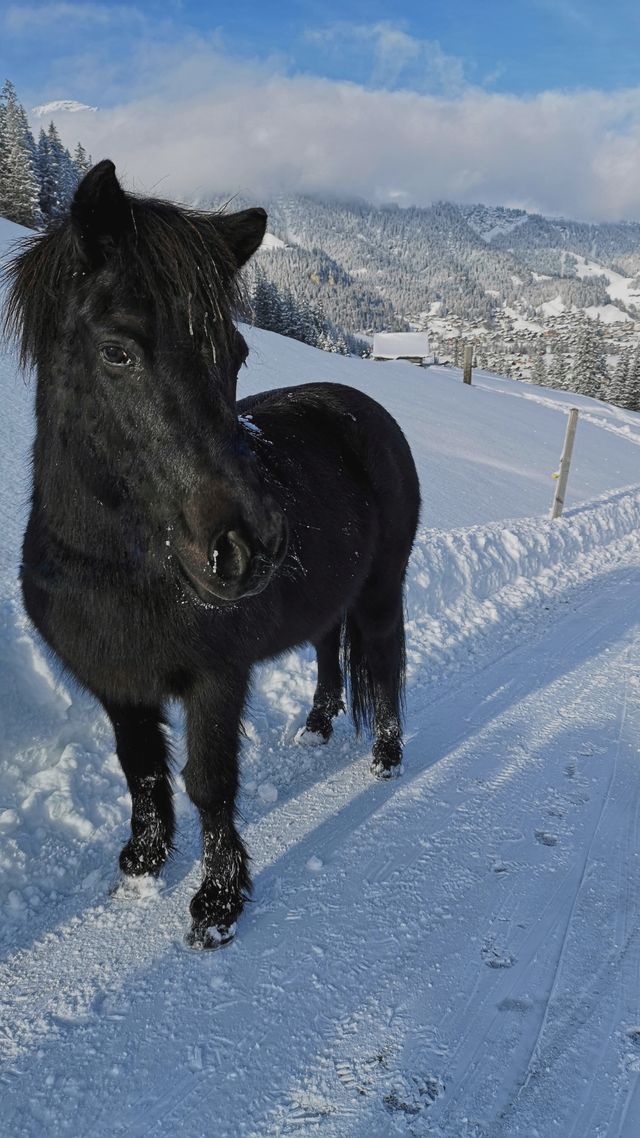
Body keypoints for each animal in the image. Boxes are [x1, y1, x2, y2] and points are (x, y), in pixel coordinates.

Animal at [4, 160, 421, 947]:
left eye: (238, 353)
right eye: (117, 351)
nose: (249, 546)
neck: (120, 569)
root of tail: (366, 408)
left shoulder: (215, 679)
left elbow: (208, 781)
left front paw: (218, 902)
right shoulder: (119, 684)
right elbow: (140, 769)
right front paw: (142, 861)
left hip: (382, 591)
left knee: (382, 661)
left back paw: (385, 755)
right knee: (327, 647)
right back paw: (317, 727)